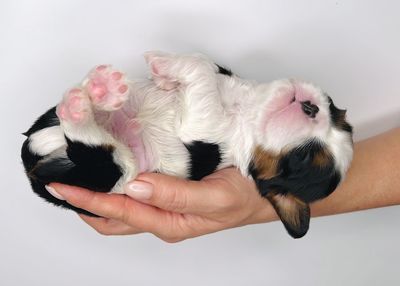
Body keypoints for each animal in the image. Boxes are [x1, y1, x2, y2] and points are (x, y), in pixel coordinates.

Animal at [21, 50, 354, 237]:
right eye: (332, 105)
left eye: (302, 158)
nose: (313, 108)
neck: (246, 108)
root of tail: (34, 170)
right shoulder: (223, 78)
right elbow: (206, 64)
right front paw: (165, 73)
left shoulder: (203, 125)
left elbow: (203, 72)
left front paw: (162, 63)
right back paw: (103, 92)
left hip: (108, 175)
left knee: (98, 154)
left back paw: (86, 103)